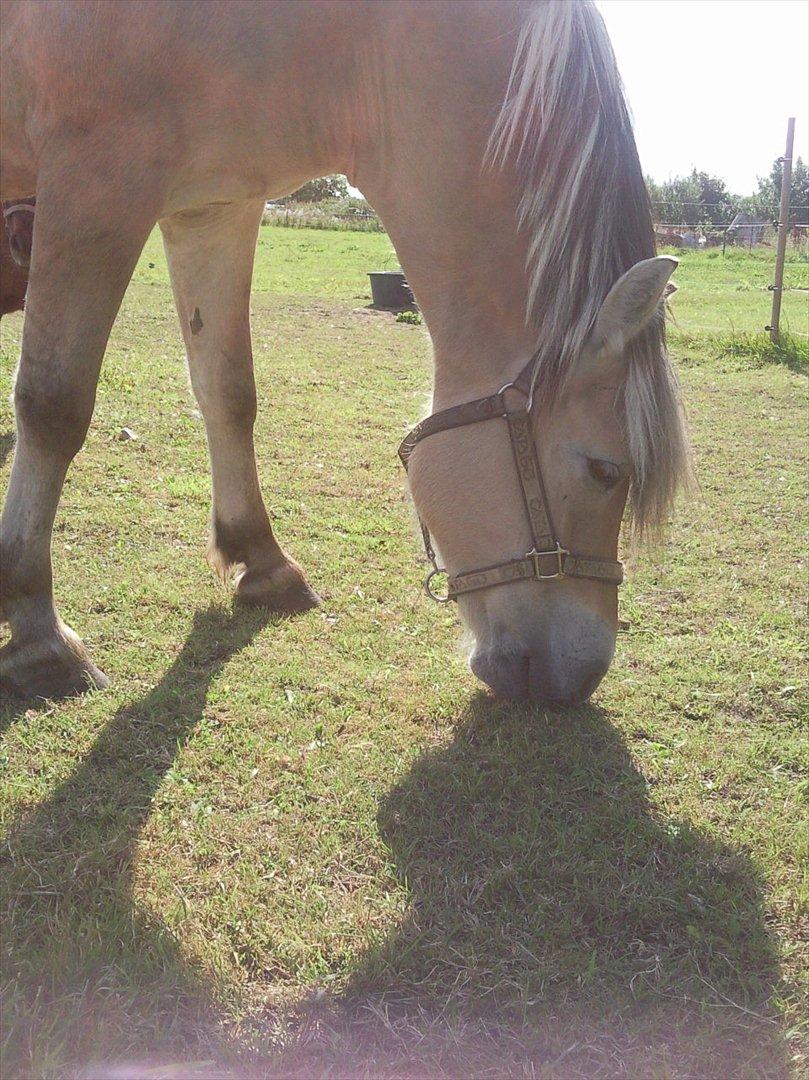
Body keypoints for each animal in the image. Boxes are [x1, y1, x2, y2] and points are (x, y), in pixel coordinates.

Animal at [1, 0, 686, 699]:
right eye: (606, 470)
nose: (578, 677)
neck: (342, 38)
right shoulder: (95, 180)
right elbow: (53, 407)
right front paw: (38, 631)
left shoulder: (215, 205)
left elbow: (228, 392)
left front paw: (262, 560)